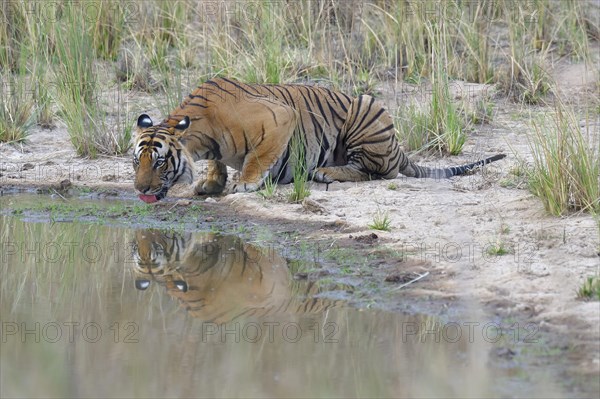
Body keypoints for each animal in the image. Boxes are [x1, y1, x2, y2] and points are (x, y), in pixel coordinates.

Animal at [134, 77, 504, 203]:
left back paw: (327, 172)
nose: (140, 189)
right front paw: (211, 182)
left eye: (160, 162)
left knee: (376, 171)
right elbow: (218, 160)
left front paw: (245, 183)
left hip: (366, 107)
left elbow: (259, 157)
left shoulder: (280, 117)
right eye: (137, 161)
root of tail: (398, 148)